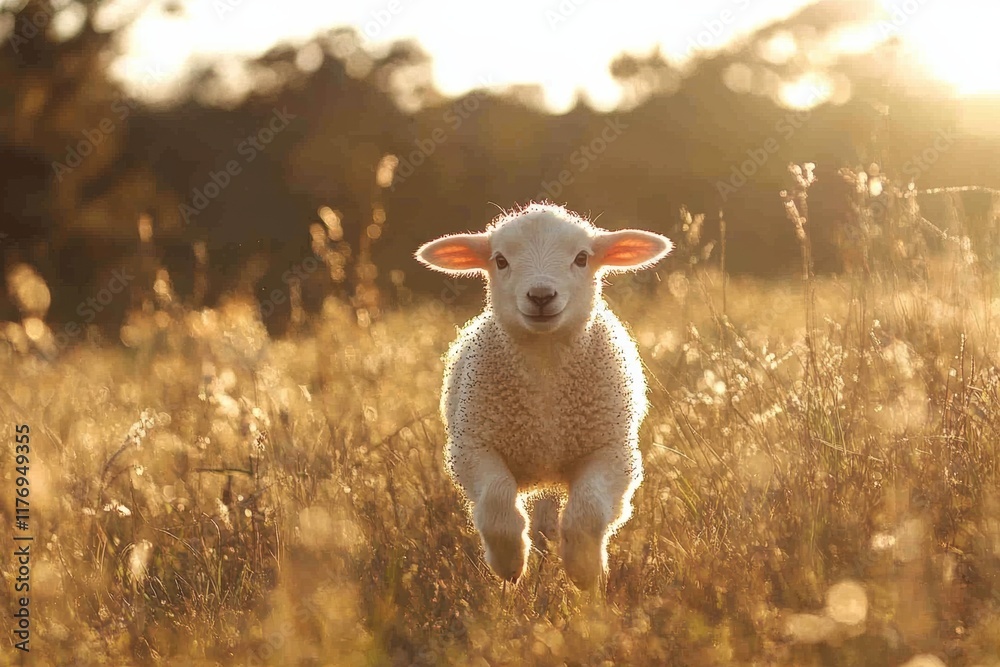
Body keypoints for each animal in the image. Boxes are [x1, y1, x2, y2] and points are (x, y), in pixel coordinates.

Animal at [416, 203, 672, 588]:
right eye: (500, 260)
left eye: (582, 258)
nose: (540, 296)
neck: (545, 362)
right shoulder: (472, 448)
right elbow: (496, 501)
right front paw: (509, 563)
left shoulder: (612, 452)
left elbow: (588, 511)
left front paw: (584, 570)